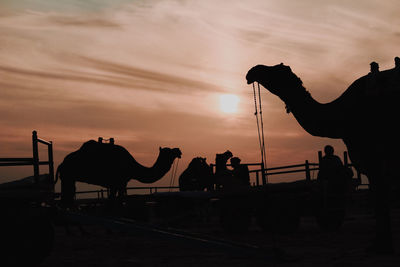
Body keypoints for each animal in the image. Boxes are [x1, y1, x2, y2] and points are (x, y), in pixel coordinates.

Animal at [247, 58, 400, 253]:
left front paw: (380, 246)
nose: (252, 71)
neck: (342, 115)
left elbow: (380, 198)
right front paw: (381, 244)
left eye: (275, 70)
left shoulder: (372, 154)